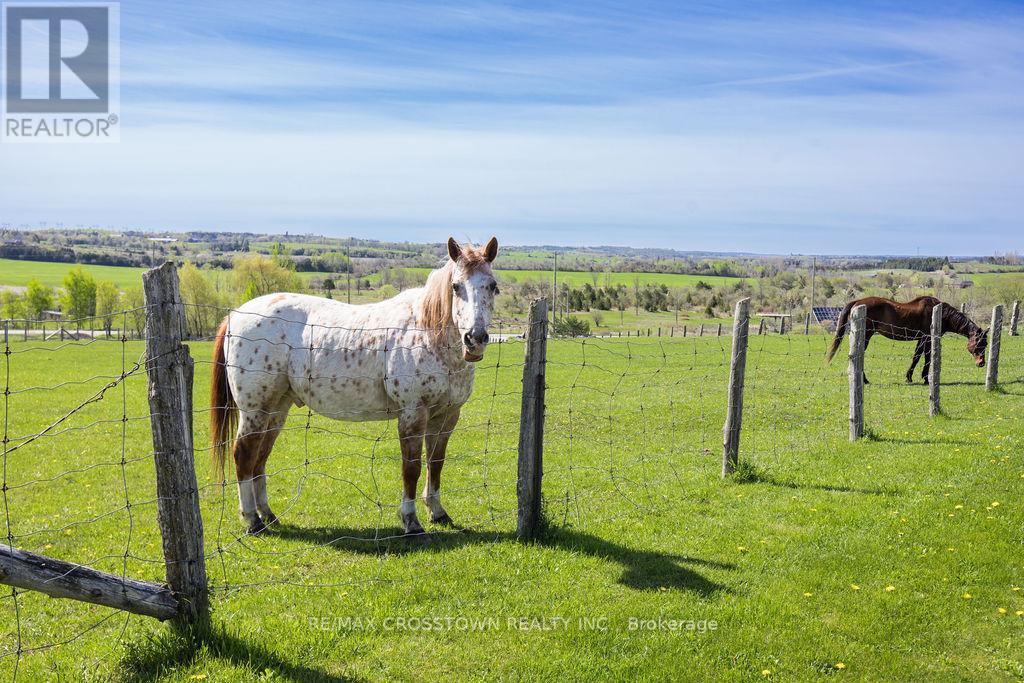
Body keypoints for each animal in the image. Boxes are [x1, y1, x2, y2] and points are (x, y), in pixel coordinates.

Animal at [214, 237, 501, 536]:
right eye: (456, 286)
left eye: (493, 286)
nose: (475, 338)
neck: (426, 332)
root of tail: (234, 316)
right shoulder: (413, 414)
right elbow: (411, 468)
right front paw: (411, 521)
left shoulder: (446, 416)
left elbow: (436, 464)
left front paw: (437, 512)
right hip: (254, 411)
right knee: (244, 456)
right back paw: (252, 520)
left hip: (276, 411)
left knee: (259, 459)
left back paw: (268, 515)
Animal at [823, 296, 983, 387]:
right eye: (980, 343)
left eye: (985, 344)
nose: (981, 363)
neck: (940, 313)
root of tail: (857, 302)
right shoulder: (927, 338)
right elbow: (925, 358)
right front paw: (925, 379)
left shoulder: (921, 339)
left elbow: (916, 357)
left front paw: (910, 377)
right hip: (866, 336)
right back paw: (864, 380)